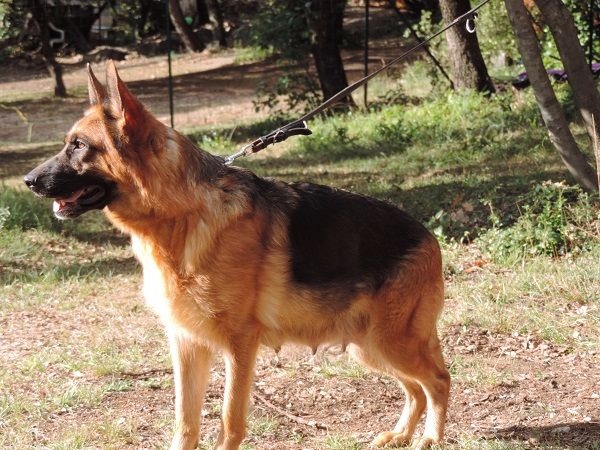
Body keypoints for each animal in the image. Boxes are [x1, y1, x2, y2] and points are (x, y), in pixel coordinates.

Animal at [25, 62, 448, 450]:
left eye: (79, 145)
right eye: (69, 142)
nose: (28, 181)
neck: (182, 215)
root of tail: (427, 234)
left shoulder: (239, 346)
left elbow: (229, 422)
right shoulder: (186, 345)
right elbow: (185, 423)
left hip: (391, 343)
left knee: (438, 381)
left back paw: (429, 437)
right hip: (371, 347)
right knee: (415, 388)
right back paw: (401, 434)